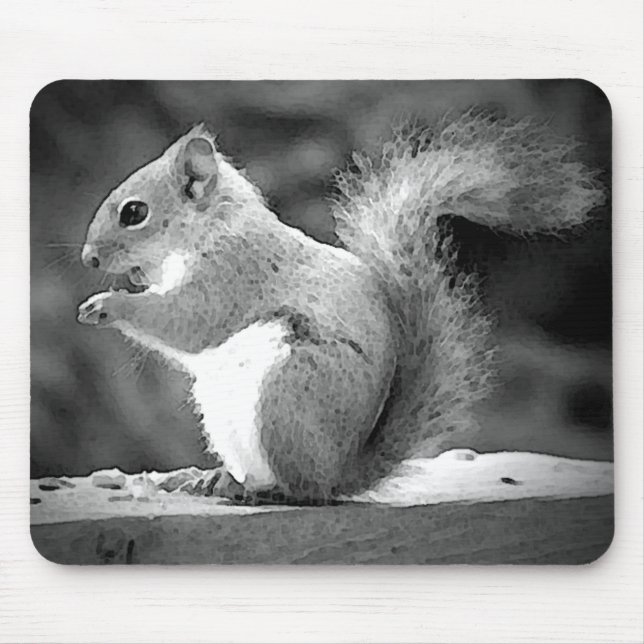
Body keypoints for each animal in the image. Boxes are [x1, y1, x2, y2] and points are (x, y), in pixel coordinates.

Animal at [77, 110, 605, 505]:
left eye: (134, 213)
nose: (89, 259)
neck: (211, 228)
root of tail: (340, 474)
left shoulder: (233, 275)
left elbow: (186, 323)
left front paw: (109, 304)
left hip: (287, 396)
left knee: (301, 490)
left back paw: (260, 489)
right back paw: (210, 479)